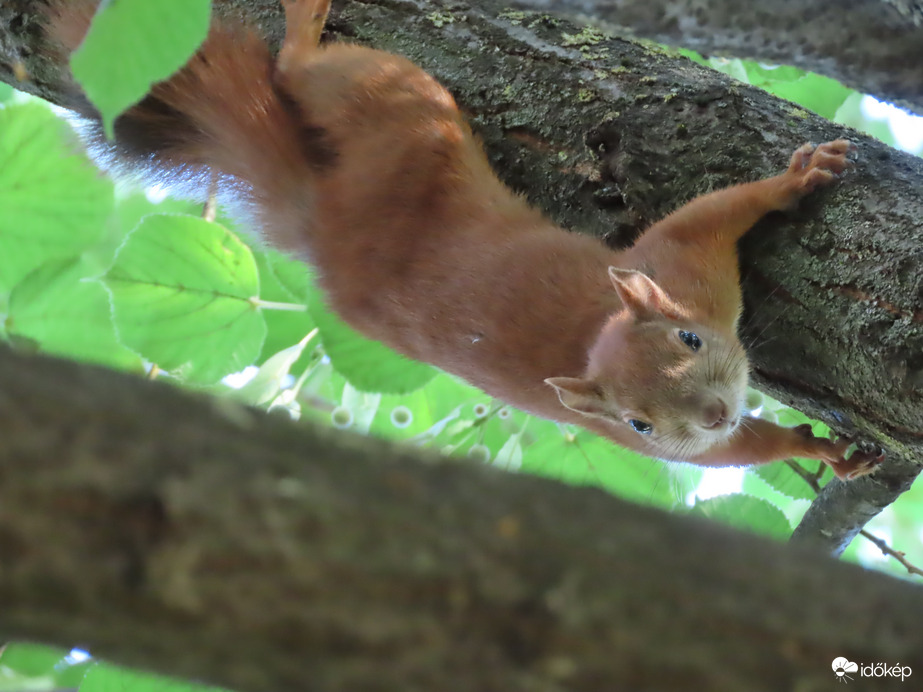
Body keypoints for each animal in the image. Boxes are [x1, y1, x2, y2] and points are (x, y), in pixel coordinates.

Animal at [47, 0, 884, 482]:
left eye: (687, 340)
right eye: (636, 423)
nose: (708, 416)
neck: (599, 334)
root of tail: (321, 222)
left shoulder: (680, 271)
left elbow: (721, 213)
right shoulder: (672, 293)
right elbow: (736, 439)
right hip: (406, 111)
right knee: (300, 67)